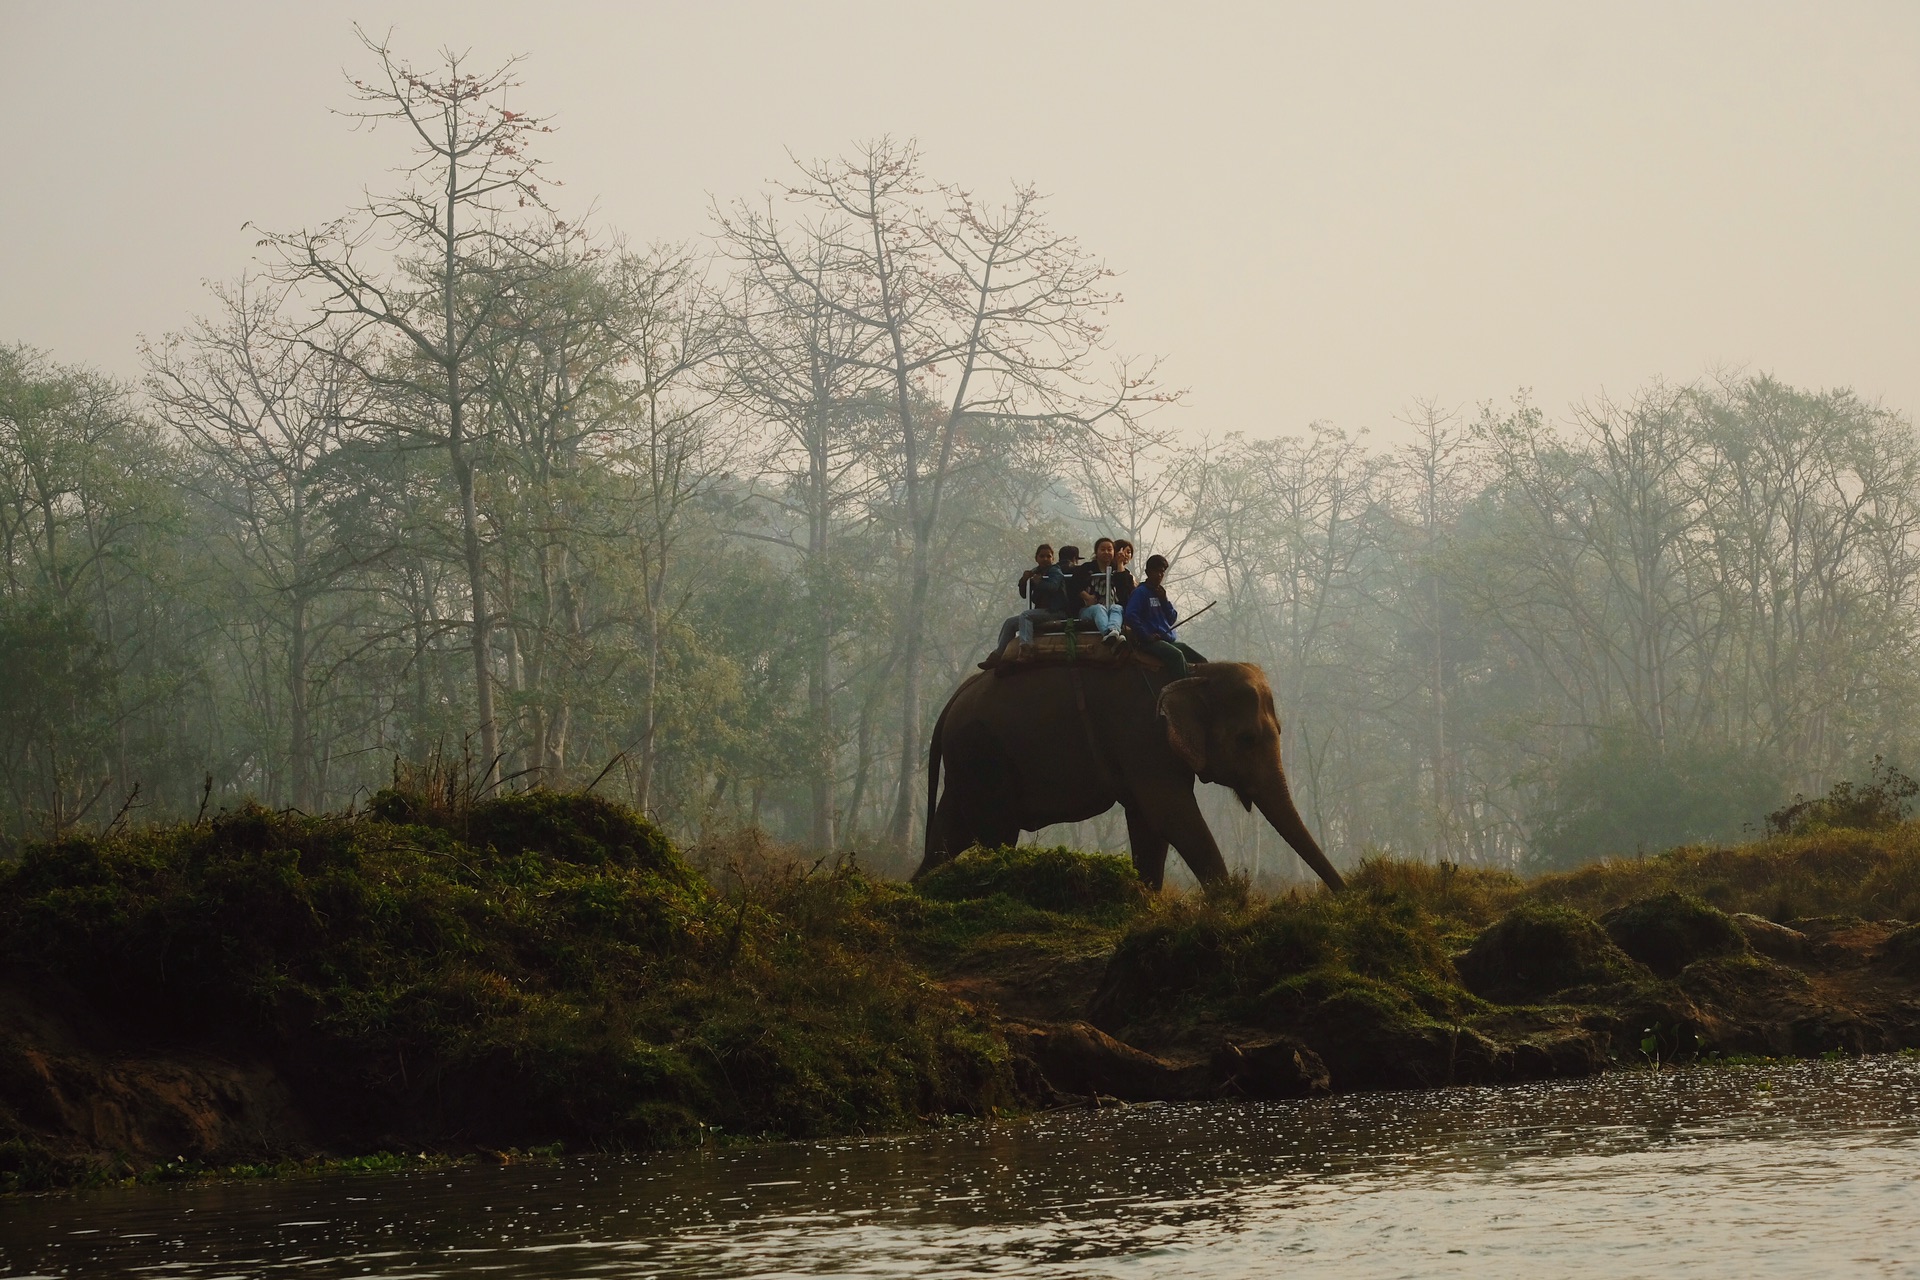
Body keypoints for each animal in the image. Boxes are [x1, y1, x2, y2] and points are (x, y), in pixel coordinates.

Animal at [917, 660, 1344, 890]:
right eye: (1247, 739)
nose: (1345, 896)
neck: (1194, 672)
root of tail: (948, 706)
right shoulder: (1141, 736)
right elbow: (1170, 814)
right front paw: (1231, 905)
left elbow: (1149, 824)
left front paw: (1145, 900)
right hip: (983, 754)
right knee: (995, 833)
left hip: (966, 766)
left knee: (947, 835)